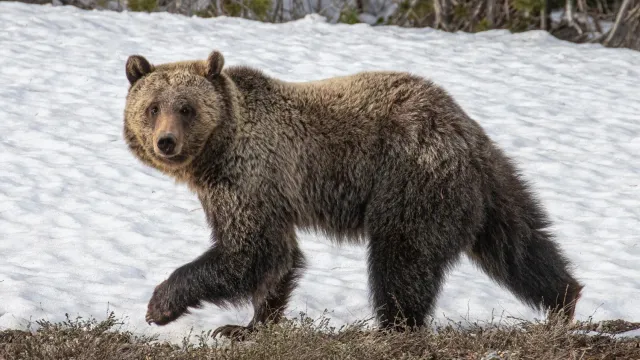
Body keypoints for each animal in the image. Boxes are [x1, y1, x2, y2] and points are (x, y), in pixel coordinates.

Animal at [122, 49, 584, 338]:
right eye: (152, 107)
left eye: (186, 108)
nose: (165, 142)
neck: (216, 152)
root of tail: (463, 132)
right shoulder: (262, 191)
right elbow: (279, 258)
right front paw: (245, 326)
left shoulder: (250, 177)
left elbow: (249, 251)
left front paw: (160, 305)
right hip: (492, 187)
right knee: (521, 245)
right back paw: (564, 300)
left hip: (410, 181)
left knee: (402, 259)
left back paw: (393, 327)